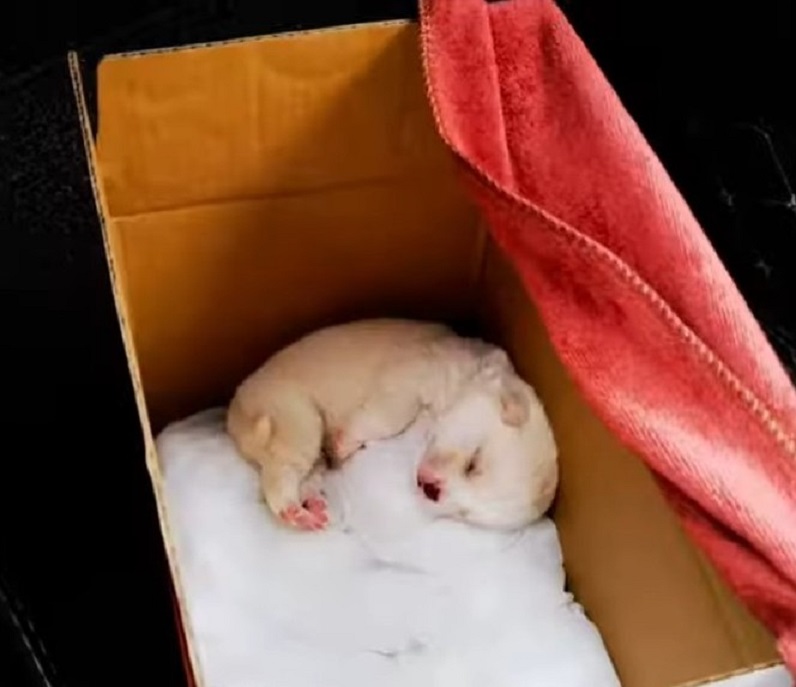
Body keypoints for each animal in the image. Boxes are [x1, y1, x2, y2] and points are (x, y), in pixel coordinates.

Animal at [227, 320, 556, 536]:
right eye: (474, 464)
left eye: (465, 514)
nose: (430, 491)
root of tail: (233, 416)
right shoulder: (410, 380)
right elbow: (386, 417)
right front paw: (347, 441)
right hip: (296, 417)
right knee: (278, 476)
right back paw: (293, 511)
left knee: (302, 474)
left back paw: (311, 506)